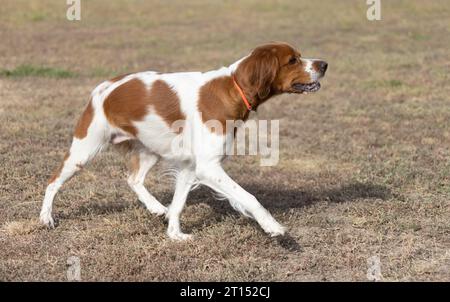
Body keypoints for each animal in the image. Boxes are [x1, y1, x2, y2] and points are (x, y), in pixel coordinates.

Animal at [39, 42, 326, 241]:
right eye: (293, 59)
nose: (324, 64)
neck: (233, 87)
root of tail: (103, 86)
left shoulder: (191, 166)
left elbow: (178, 205)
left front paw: (174, 234)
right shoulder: (208, 166)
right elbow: (250, 197)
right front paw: (273, 226)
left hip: (150, 148)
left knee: (134, 179)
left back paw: (156, 208)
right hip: (84, 148)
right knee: (53, 181)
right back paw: (45, 218)